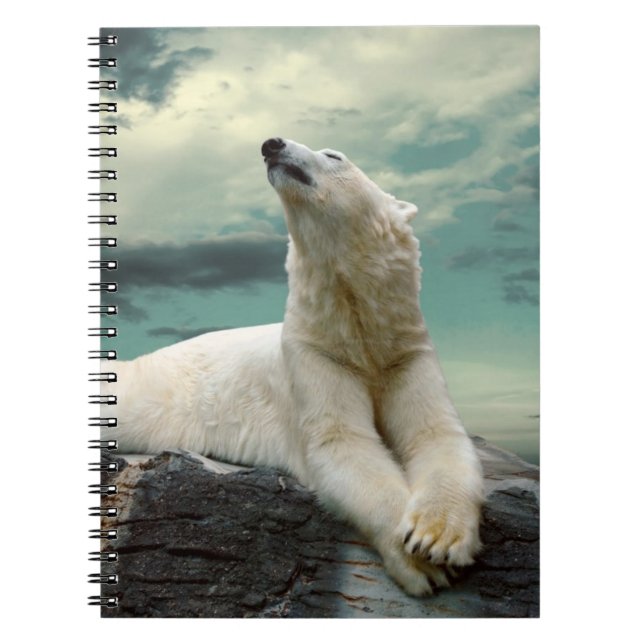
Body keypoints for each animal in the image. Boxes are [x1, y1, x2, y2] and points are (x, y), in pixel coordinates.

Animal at [102, 138, 484, 597]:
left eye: (335, 155)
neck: (357, 328)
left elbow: (436, 433)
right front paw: (419, 562)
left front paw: (436, 537)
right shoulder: (314, 354)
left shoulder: (405, 352)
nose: (272, 144)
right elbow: (342, 443)